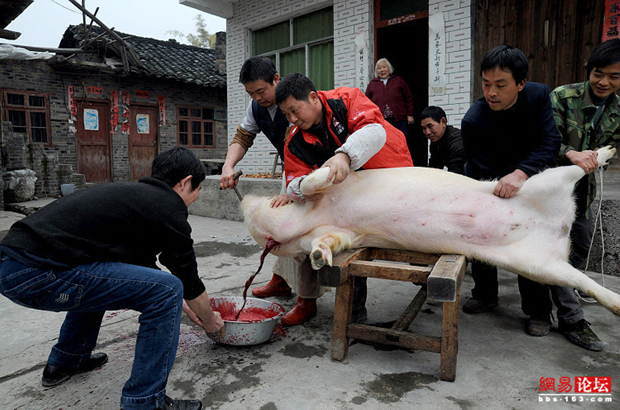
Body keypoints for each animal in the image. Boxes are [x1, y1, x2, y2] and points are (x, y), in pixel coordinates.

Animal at [241, 145, 620, 316]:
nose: (244, 198)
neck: (312, 217)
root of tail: (562, 228)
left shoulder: (331, 195)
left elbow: (314, 183)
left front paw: (316, 176)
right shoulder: (340, 231)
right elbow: (328, 240)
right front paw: (320, 258)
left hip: (539, 184)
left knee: (572, 169)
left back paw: (603, 152)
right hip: (538, 263)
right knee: (578, 280)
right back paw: (617, 305)